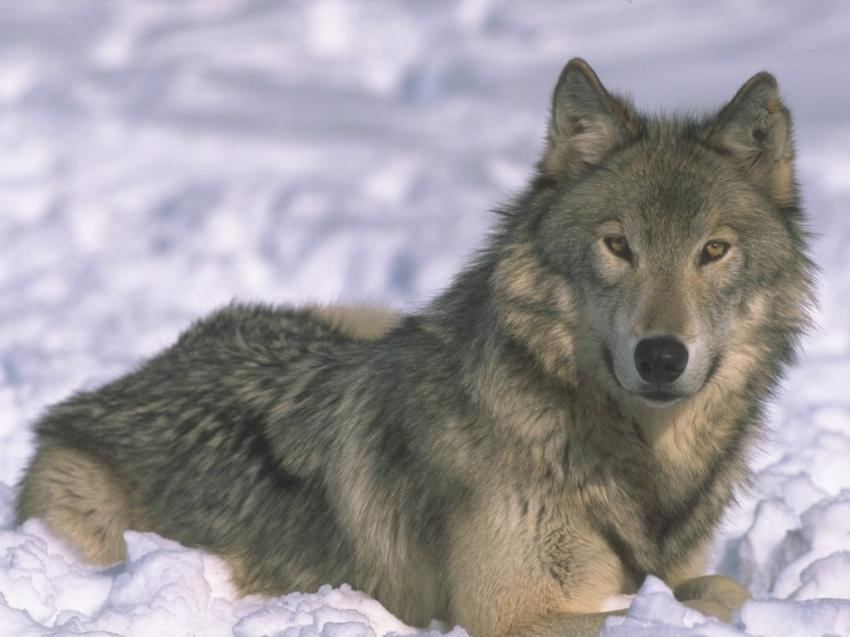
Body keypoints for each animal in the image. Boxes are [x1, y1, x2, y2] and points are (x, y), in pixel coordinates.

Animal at [16, 59, 814, 636]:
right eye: (618, 245)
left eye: (713, 250)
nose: (660, 356)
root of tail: (117, 385)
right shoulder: (511, 616)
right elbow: (713, 596)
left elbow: (712, 582)